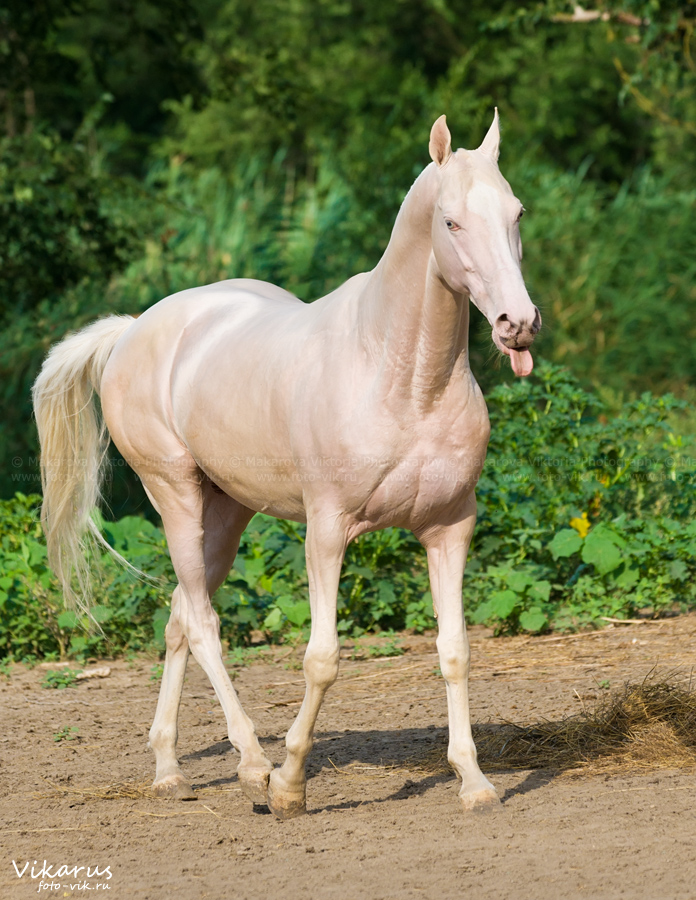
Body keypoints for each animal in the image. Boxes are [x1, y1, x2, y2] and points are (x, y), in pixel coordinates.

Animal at [32, 113, 540, 817]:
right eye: (452, 221)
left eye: (516, 213)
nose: (518, 325)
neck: (403, 379)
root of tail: (135, 329)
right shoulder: (326, 532)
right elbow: (322, 659)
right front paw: (290, 783)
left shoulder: (449, 528)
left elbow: (455, 650)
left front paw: (473, 781)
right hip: (175, 496)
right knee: (204, 623)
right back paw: (252, 765)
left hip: (227, 511)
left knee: (178, 617)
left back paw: (169, 770)